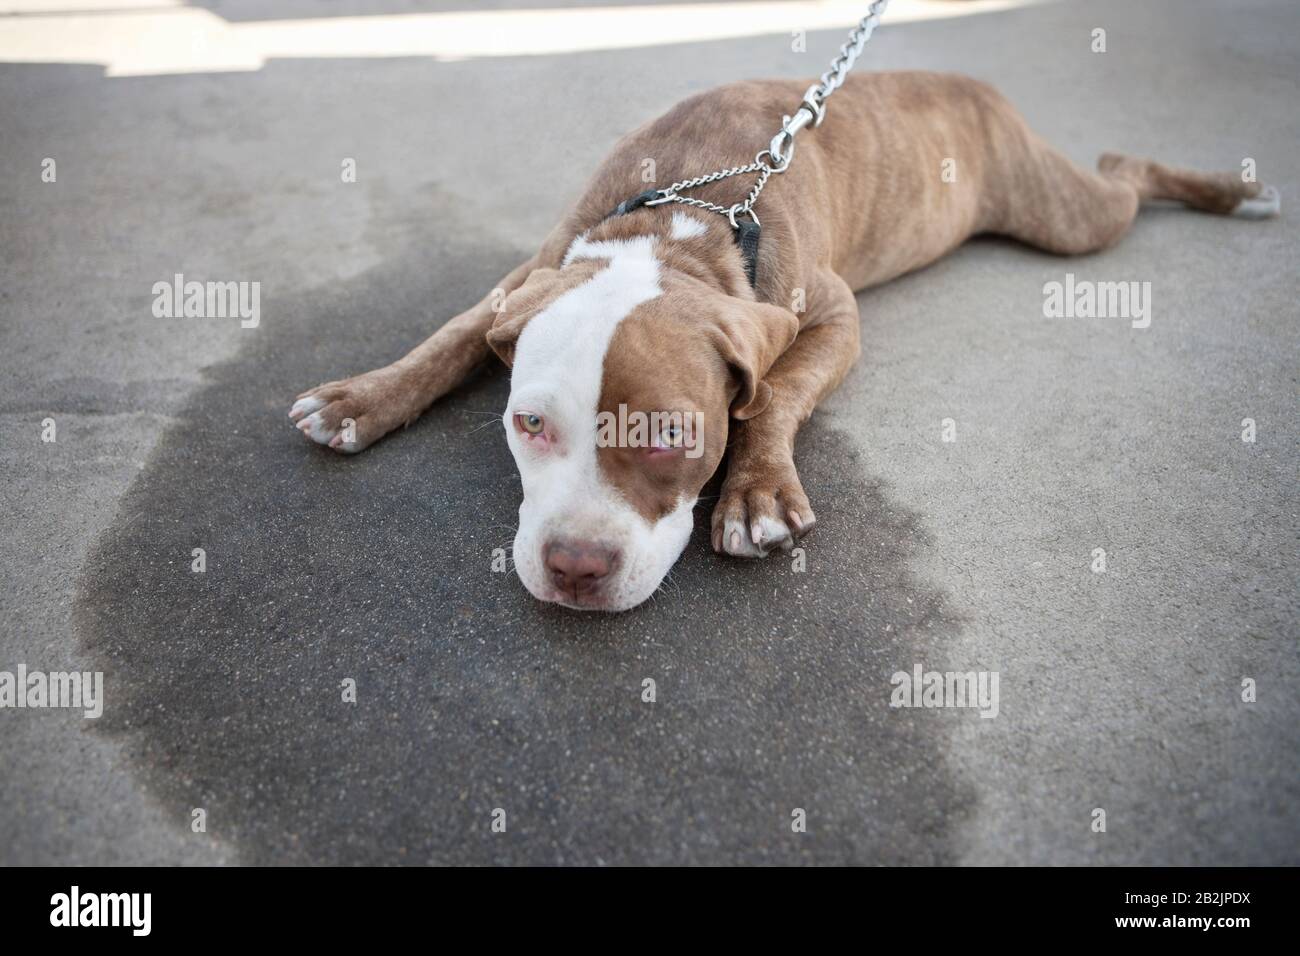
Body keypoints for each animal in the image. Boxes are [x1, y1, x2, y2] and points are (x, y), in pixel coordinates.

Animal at [287, 74, 1279, 613]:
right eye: (528, 425)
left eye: (674, 437)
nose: (575, 568)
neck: (680, 222)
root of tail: (969, 82)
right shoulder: (526, 278)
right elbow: (453, 336)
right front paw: (359, 398)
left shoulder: (831, 316)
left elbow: (777, 396)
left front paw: (756, 493)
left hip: (1067, 219)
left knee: (1125, 173)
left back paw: (1236, 191)